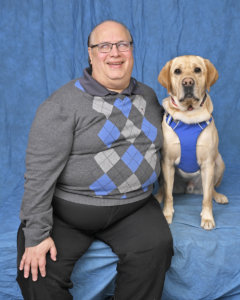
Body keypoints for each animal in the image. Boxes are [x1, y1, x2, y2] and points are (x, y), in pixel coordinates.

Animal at [157, 55, 228, 230]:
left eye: (197, 70)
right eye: (177, 71)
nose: (188, 82)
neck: (189, 114)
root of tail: (188, 188)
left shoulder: (208, 163)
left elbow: (207, 198)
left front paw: (207, 217)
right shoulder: (167, 162)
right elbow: (169, 195)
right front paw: (167, 214)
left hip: (219, 162)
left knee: (210, 189)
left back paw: (218, 196)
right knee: (164, 189)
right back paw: (158, 196)